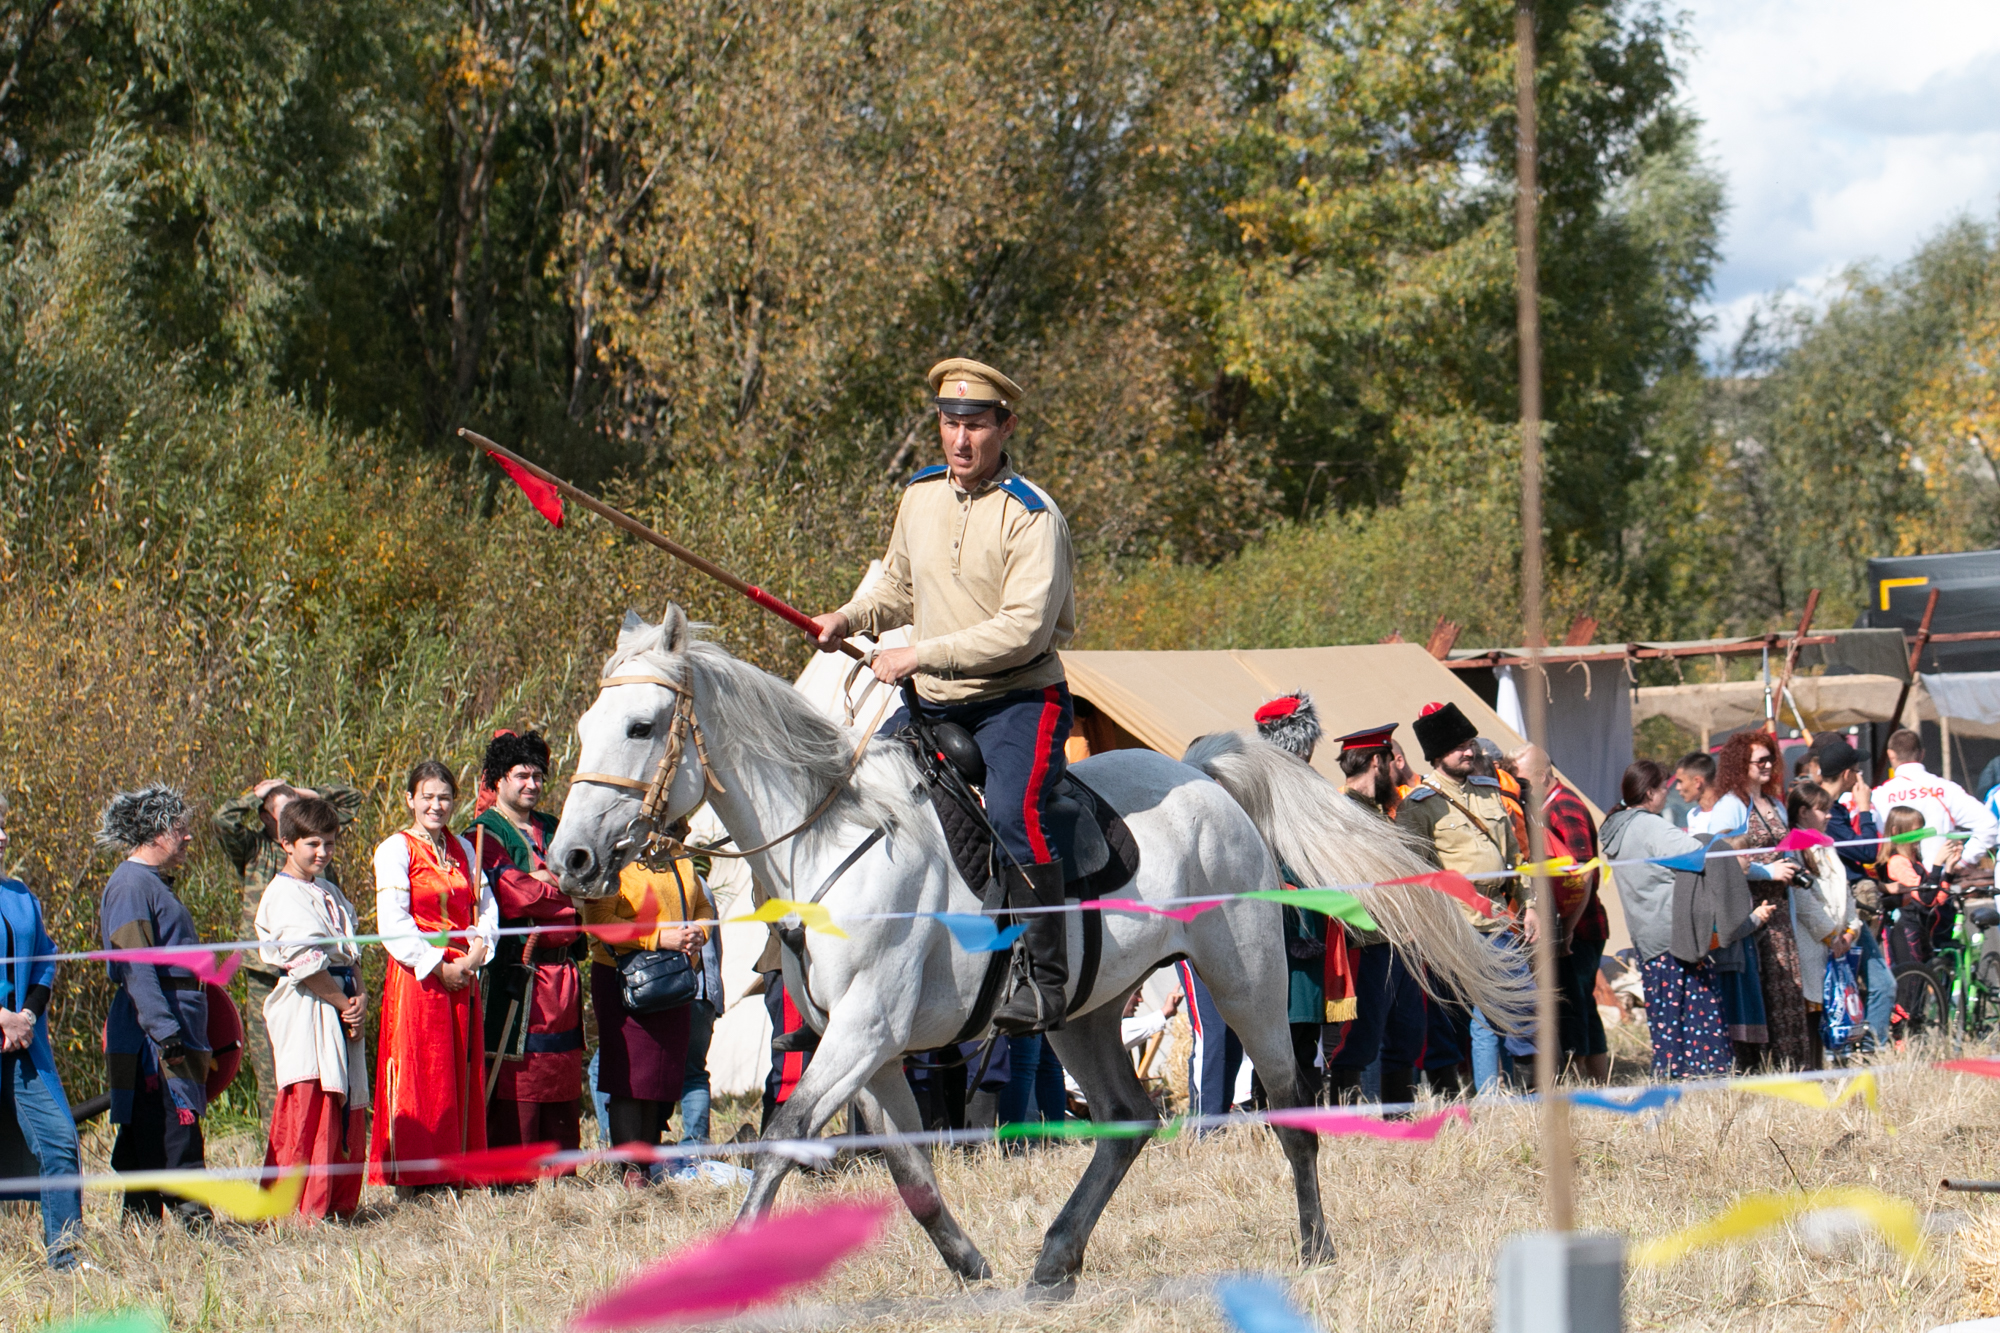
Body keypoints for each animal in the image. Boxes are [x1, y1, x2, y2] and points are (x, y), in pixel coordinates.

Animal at [556, 608, 1536, 1288]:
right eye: (582, 729)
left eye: (642, 726)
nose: (572, 860)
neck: (834, 839)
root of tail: (1204, 776)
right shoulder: (864, 1047)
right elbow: (908, 1168)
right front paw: (970, 1266)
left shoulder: (867, 1033)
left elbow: (786, 1137)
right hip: (1086, 1011)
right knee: (1128, 1116)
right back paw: (1056, 1257)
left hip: (1245, 977)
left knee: (1291, 1106)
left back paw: (1313, 1245)